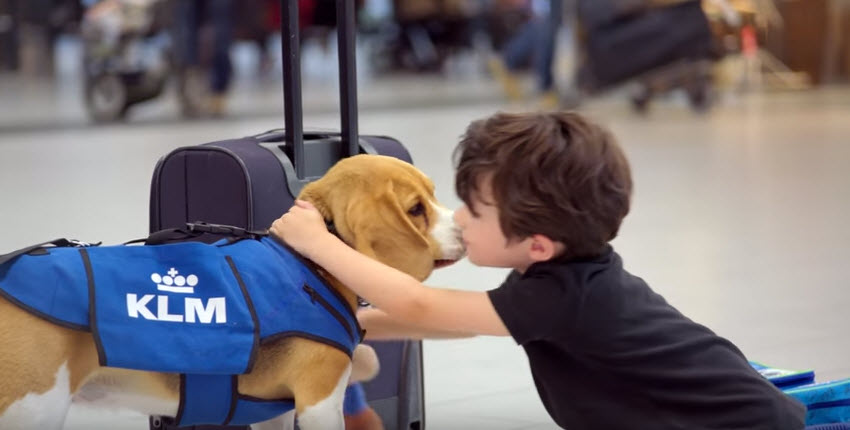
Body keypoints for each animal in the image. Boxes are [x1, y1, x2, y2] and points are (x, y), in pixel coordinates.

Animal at [0, 155, 460, 430]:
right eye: (416, 210)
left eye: (433, 196)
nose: (463, 229)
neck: (308, 260)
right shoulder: (320, 402)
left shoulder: (274, 410)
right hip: (33, 410)